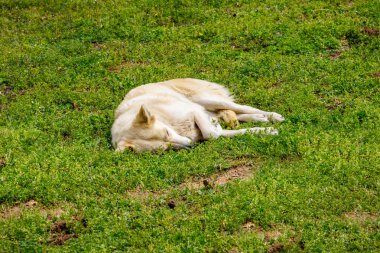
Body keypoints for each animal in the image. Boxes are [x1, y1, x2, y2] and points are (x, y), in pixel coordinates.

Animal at [111, 78, 284, 151]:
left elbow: (210, 133)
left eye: (167, 133)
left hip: (203, 99)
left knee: (242, 107)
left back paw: (274, 116)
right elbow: (224, 133)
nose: (190, 144)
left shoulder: (193, 111)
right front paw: (266, 131)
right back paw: (261, 119)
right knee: (237, 114)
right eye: (164, 148)